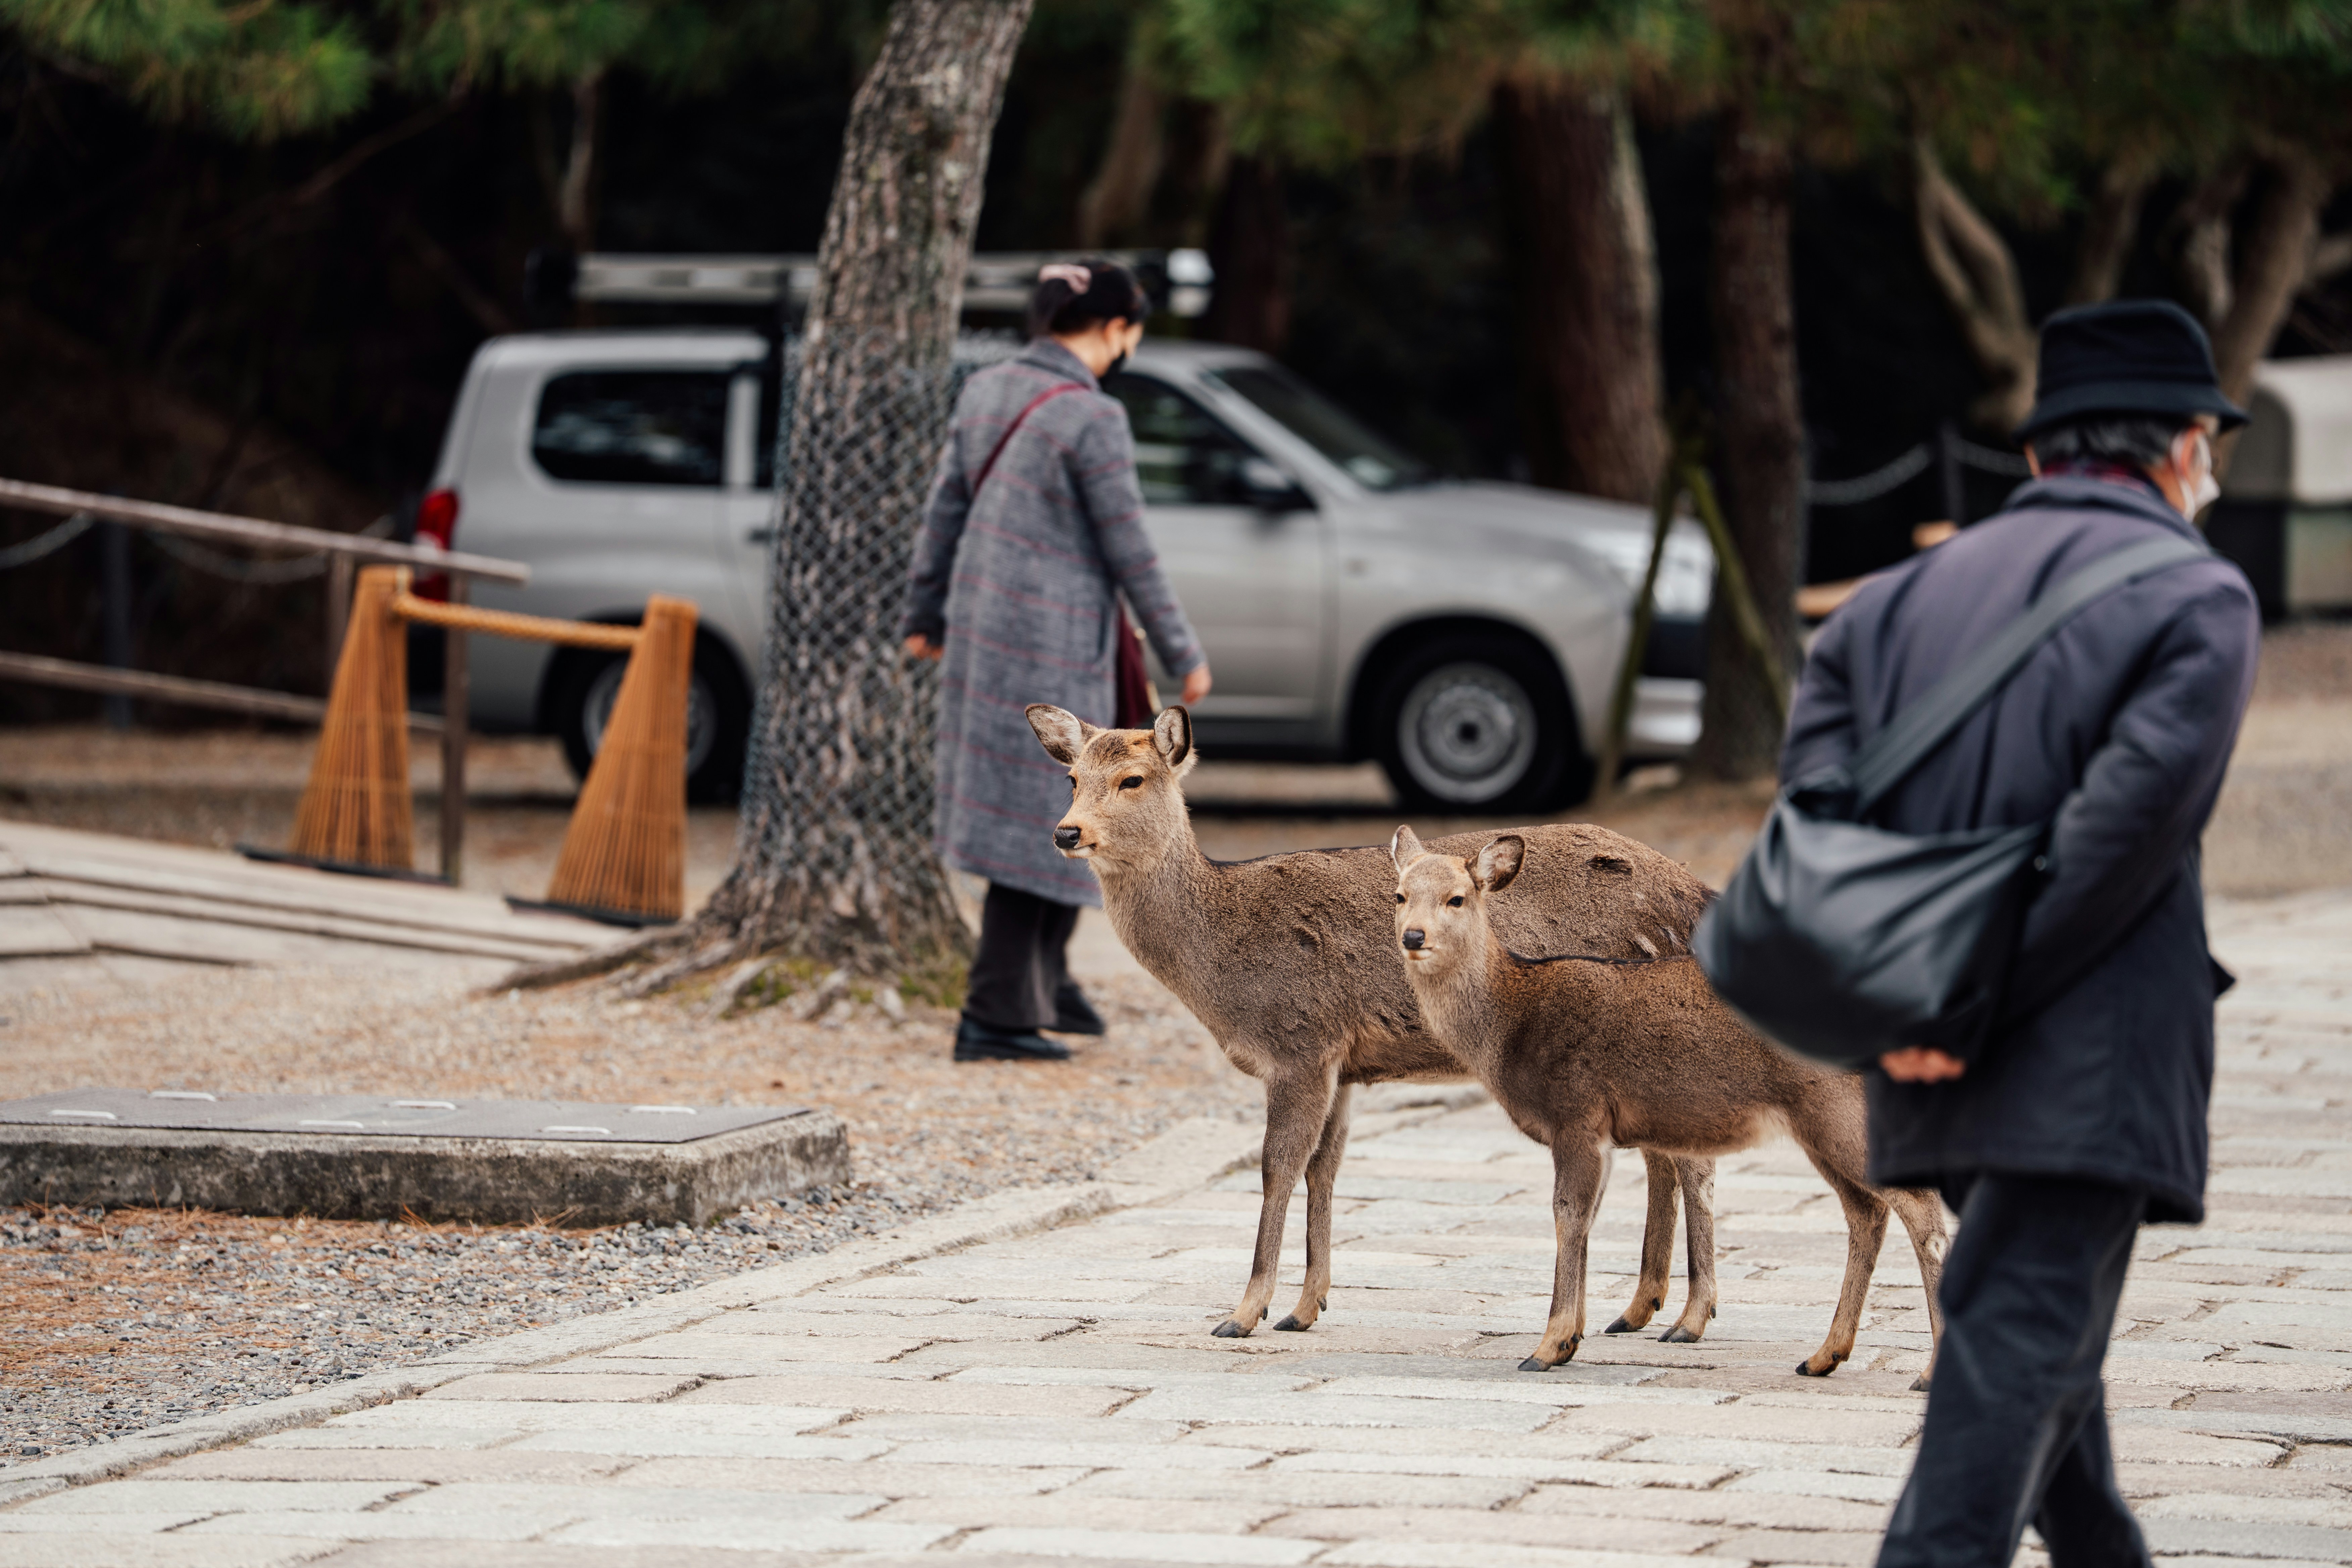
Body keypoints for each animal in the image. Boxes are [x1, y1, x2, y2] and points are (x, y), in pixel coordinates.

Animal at [1026, 702, 1724, 1344]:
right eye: (1071, 777)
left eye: (1133, 779)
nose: (1066, 832)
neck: (1222, 969)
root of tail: (1697, 896)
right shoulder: (1344, 1063)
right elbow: (1324, 1168)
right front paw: (1304, 1307)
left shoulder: (1300, 1042)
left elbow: (1276, 1167)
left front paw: (1243, 1312)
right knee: (1664, 1155)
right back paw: (1638, 1309)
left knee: (1688, 1160)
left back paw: (1687, 1317)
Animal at [1389, 825, 1949, 1381]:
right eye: (1400, 895)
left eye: (1457, 898)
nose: (1413, 937)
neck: (1511, 1026)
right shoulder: (1601, 1135)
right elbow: (1588, 1220)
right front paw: (1572, 1339)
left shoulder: (1576, 1114)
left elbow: (1567, 1215)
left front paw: (1548, 1347)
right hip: (1821, 1126)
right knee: (1867, 1212)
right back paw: (1823, 1356)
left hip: (1837, 1111)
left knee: (1922, 1212)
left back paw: (1923, 1372)